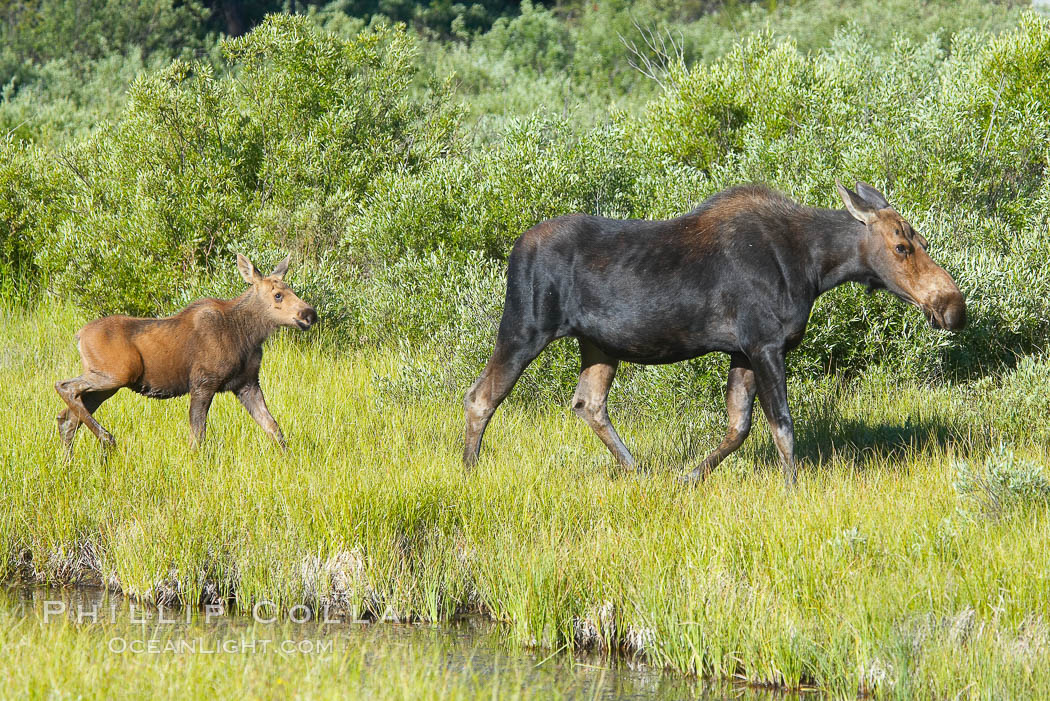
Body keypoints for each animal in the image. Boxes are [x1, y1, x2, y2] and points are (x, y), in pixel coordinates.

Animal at [54, 255, 315, 451]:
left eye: (291, 289)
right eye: (277, 295)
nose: (309, 313)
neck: (247, 334)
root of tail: (79, 335)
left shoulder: (247, 383)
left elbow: (273, 427)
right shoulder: (203, 382)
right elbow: (197, 436)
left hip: (106, 386)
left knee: (67, 418)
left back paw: (69, 462)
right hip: (116, 374)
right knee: (64, 387)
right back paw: (107, 438)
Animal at [468, 183, 965, 484]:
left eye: (922, 242)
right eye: (901, 246)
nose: (953, 307)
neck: (816, 268)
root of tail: (514, 248)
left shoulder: (742, 351)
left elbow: (738, 427)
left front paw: (689, 476)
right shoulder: (764, 343)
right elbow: (782, 425)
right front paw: (793, 488)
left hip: (599, 344)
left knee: (587, 404)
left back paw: (637, 471)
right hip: (525, 327)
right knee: (481, 395)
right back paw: (469, 468)